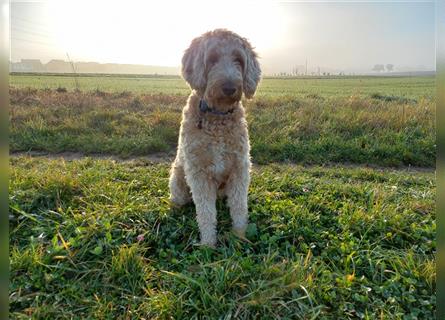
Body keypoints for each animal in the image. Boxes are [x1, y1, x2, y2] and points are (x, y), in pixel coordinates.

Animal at [169, 28, 260, 246]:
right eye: (211, 59)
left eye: (238, 59)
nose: (229, 88)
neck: (217, 116)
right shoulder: (198, 173)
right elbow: (205, 212)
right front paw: (208, 244)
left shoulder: (240, 168)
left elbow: (239, 206)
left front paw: (240, 236)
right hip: (178, 179)